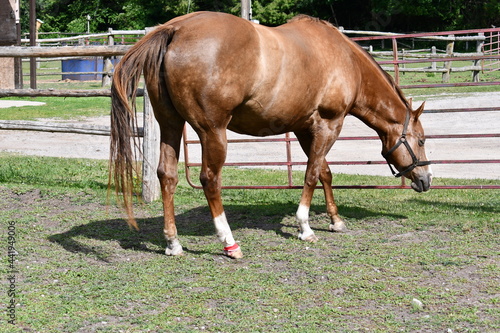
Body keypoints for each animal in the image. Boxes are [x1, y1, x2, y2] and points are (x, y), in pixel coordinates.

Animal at [111, 11, 432, 258]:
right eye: (421, 140)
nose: (426, 180)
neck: (346, 60)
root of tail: (175, 30)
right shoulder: (329, 124)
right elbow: (312, 174)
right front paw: (305, 227)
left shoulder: (304, 128)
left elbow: (324, 172)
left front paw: (336, 220)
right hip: (211, 132)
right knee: (210, 179)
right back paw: (229, 243)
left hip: (171, 124)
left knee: (167, 175)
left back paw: (173, 243)